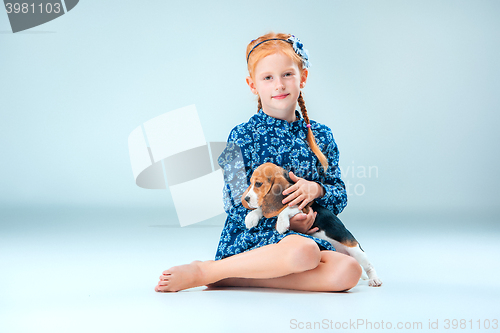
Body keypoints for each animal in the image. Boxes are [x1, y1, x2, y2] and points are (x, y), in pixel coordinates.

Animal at [242, 161, 382, 286]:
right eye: (251, 183)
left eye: (258, 184)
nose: (246, 199)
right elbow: (263, 209)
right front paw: (251, 217)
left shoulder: (304, 207)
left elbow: (287, 208)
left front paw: (281, 224)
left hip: (356, 250)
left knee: (369, 266)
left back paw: (374, 279)